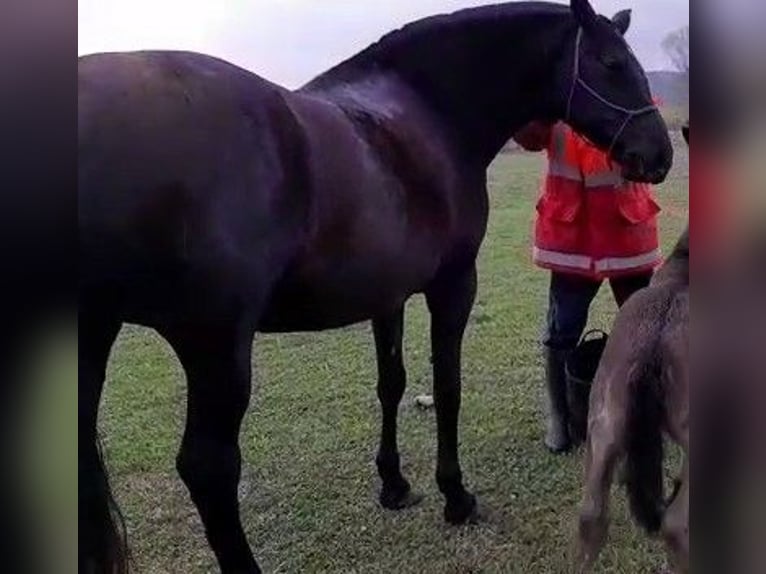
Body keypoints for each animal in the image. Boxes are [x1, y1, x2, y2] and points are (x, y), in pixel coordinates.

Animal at [79, 1, 672, 572]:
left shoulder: (387, 294)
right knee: (208, 467)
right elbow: (448, 385)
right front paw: (455, 496)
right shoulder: (454, 283)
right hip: (216, 345)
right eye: (612, 64)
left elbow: (392, 383)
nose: (660, 154)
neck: (426, 113)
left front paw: (394, 484)